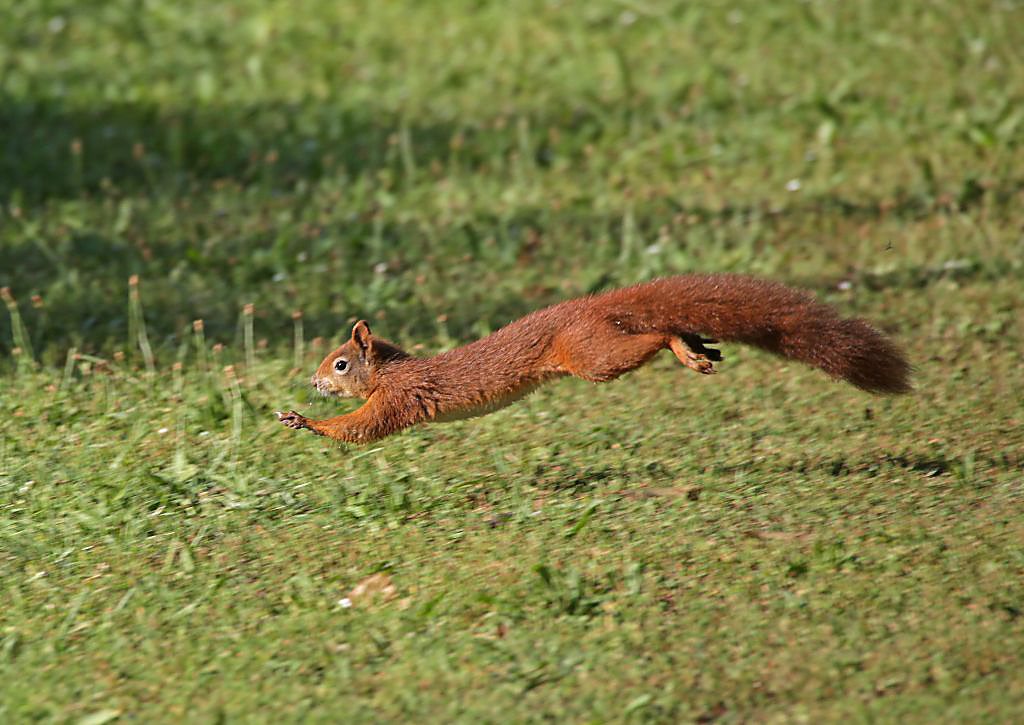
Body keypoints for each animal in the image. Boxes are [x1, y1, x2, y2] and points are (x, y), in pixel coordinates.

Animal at [276, 272, 909, 442]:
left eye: (339, 364)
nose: (312, 381)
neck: (394, 366)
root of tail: (588, 305)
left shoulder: (400, 398)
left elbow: (364, 427)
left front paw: (304, 420)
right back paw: (698, 345)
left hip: (591, 355)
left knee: (653, 336)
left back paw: (684, 348)